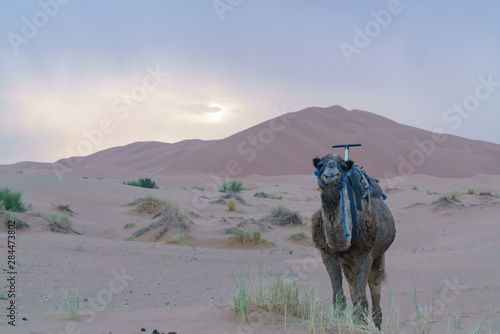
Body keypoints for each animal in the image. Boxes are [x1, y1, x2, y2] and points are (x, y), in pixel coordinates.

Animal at [312, 154, 394, 328]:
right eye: (320, 165)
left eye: (343, 167)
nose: (330, 174)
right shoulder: (327, 253)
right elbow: (338, 295)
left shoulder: (365, 253)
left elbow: (362, 300)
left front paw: (361, 324)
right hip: (347, 262)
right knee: (351, 282)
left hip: (378, 255)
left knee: (374, 282)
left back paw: (377, 326)